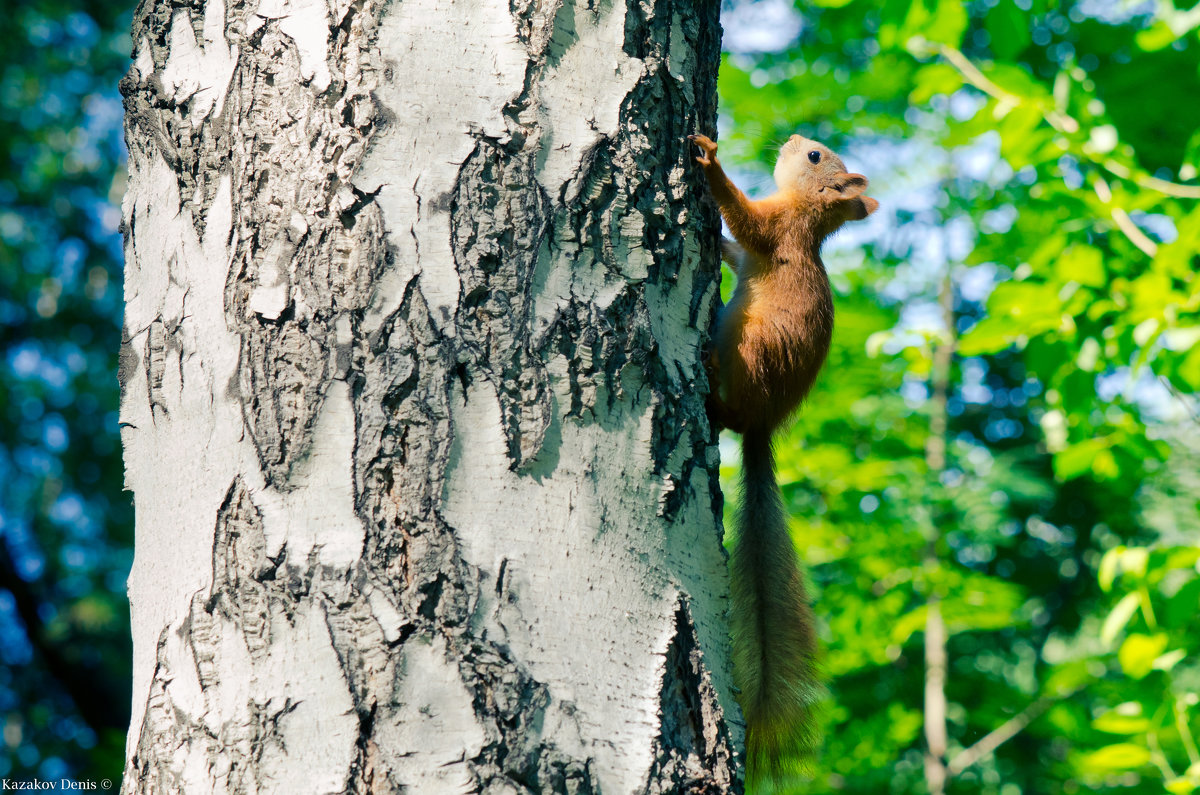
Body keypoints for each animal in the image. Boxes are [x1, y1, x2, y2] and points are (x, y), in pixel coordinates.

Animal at [691, 132, 878, 792]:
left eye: (817, 156)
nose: (795, 139)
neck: (807, 214)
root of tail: (760, 424)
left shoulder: (777, 230)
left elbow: (744, 220)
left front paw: (708, 161)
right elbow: (732, 246)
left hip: (752, 349)